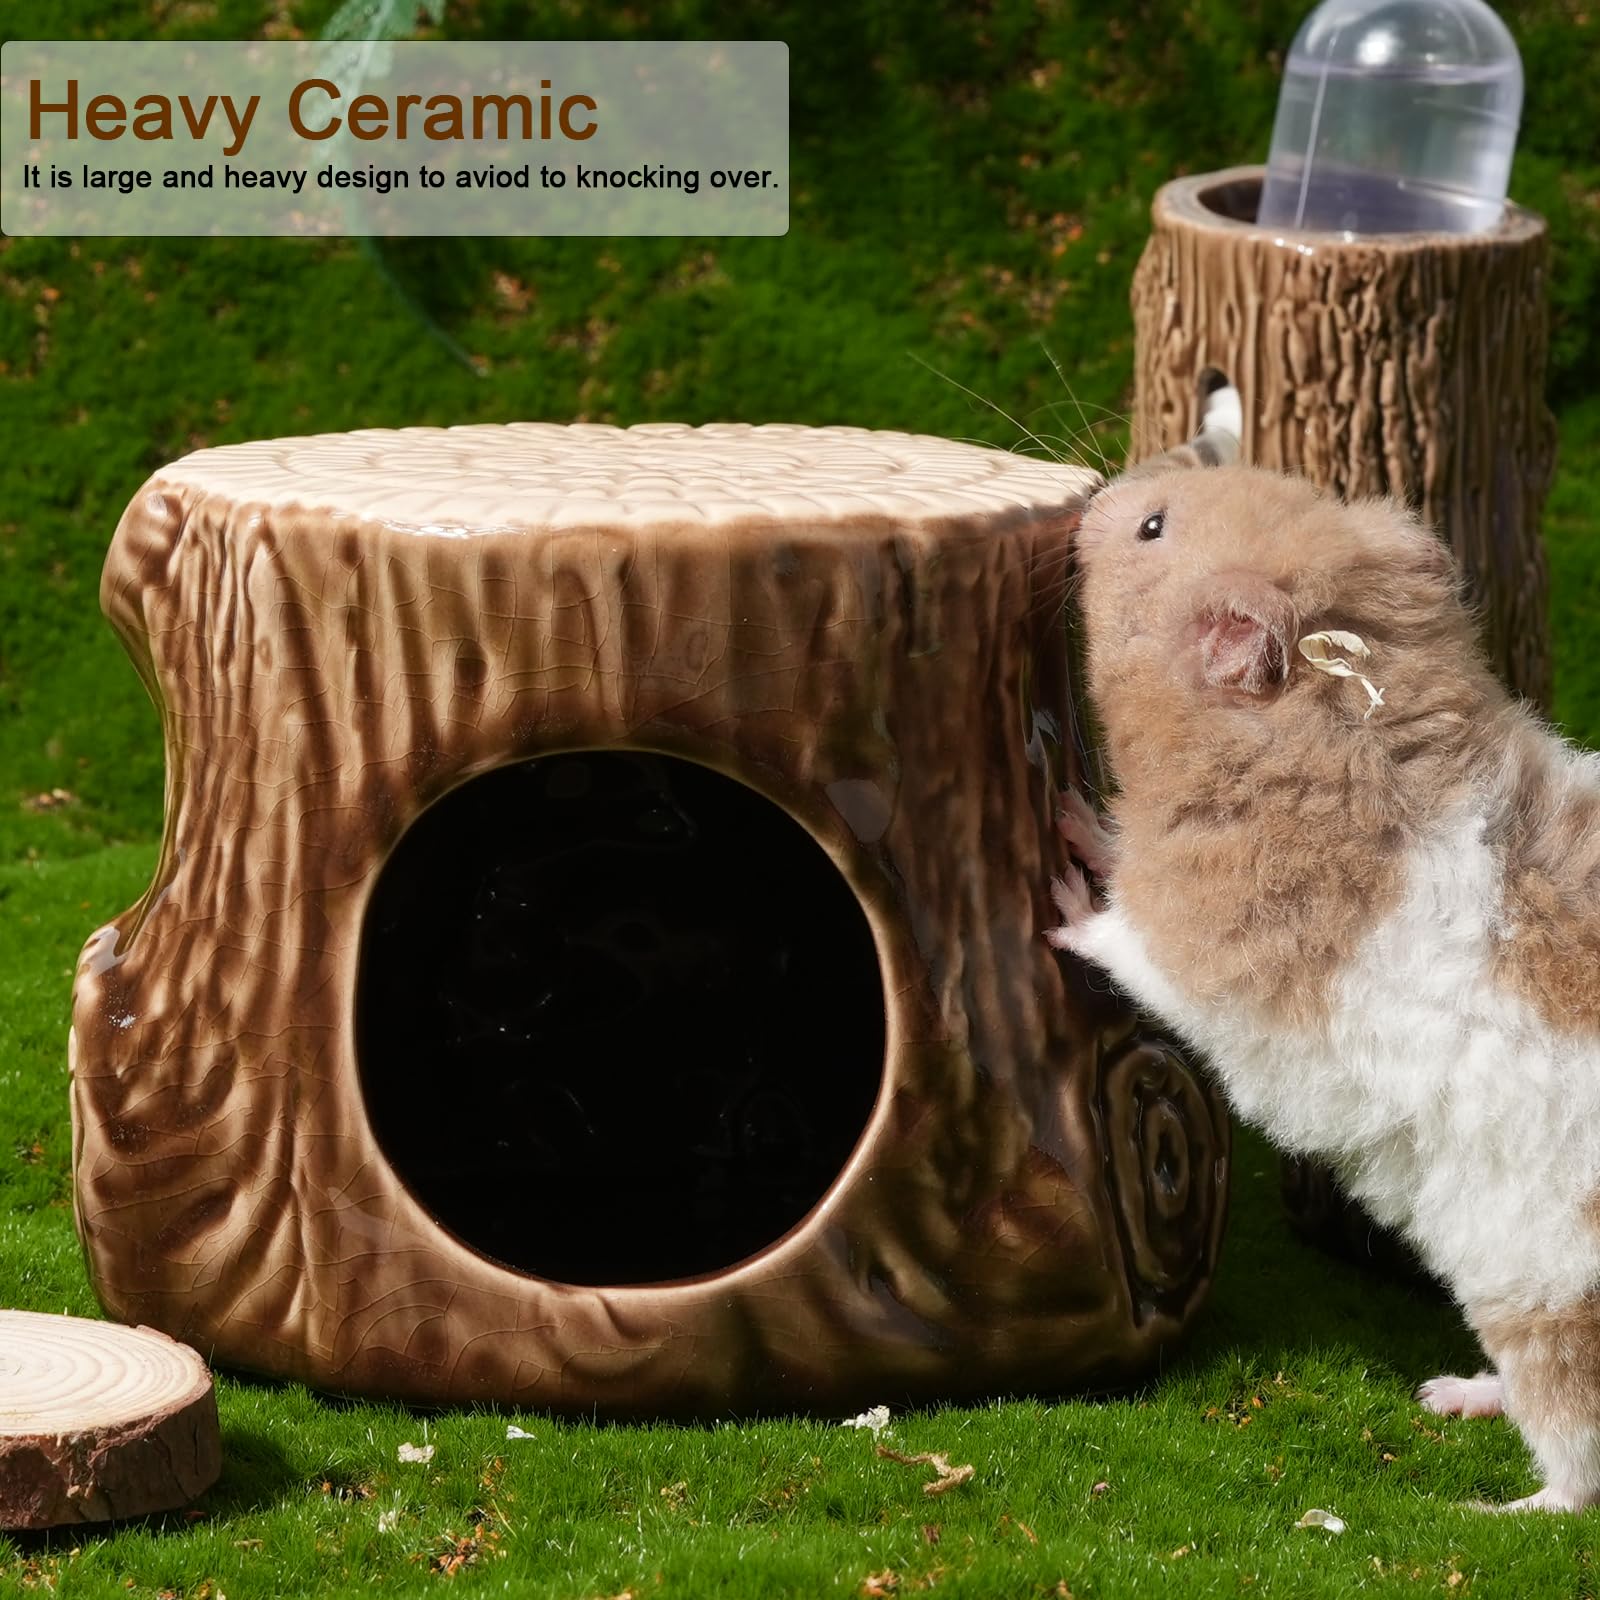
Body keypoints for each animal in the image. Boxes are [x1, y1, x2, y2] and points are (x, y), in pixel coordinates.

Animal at [1049, 433, 1600, 1513]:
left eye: (1151, 529)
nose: (1093, 499)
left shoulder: (1192, 946)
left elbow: (1116, 931)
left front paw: (1058, 877)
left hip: (1546, 1295)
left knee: (1577, 1460)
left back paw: (1492, 1502)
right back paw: (1448, 1394)